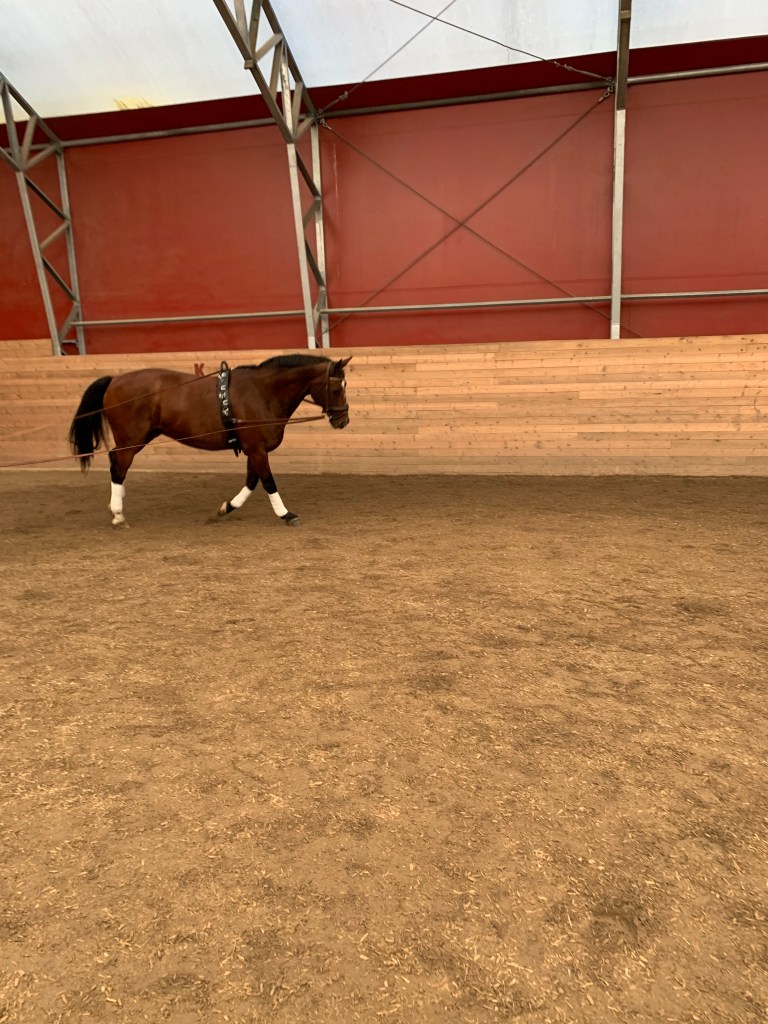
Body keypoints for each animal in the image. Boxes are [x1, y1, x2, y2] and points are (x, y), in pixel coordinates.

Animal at [68, 354, 351, 527]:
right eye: (336, 388)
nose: (343, 420)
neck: (262, 393)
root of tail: (115, 379)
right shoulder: (257, 450)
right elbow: (268, 482)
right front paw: (286, 514)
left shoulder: (252, 450)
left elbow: (251, 482)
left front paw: (227, 506)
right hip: (132, 437)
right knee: (119, 465)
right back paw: (118, 514)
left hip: (143, 436)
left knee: (117, 463)